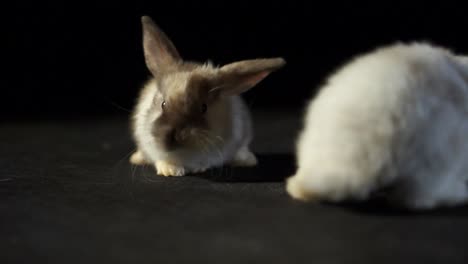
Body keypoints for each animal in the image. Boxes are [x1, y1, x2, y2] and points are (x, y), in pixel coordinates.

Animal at [130, 16, 288, 175]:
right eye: (163, 104)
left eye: (203, 107)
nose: (175, 136)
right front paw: (171, 171)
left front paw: (199, 168)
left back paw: (247, 160)